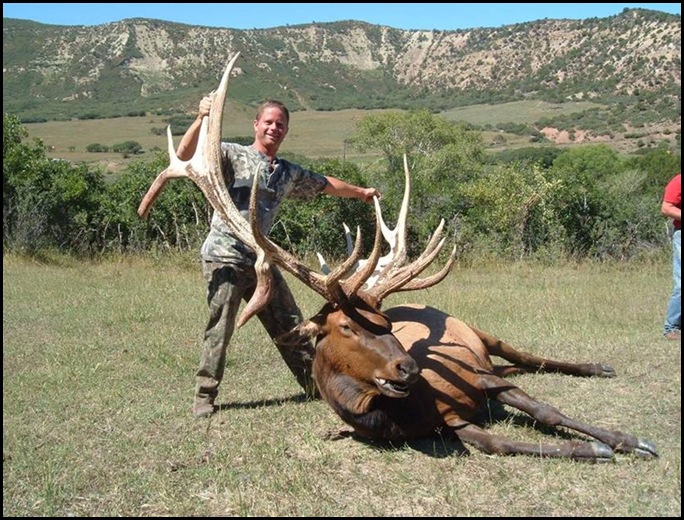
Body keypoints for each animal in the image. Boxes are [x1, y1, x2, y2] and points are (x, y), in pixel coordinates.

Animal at [138, 53, 658, 462]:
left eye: (387, 324)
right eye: (345, 327)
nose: (408, 367)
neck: (397, 416)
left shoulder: (478, 379)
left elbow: (548, 408)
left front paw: (625, 440)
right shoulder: (456, 423)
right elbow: (502, 442)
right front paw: (595, 448)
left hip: (483, 335)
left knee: (525, 355)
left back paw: (596, 367)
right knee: (515, 366)